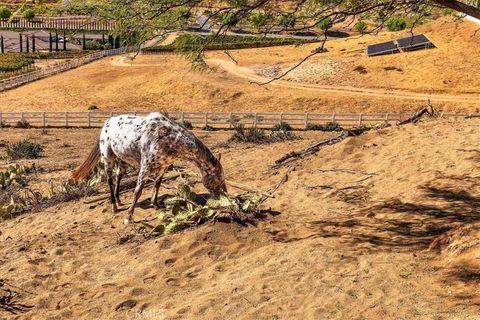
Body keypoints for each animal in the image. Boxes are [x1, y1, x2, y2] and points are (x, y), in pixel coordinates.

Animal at [71, 112, 227, 222]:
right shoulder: (145, 167)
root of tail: (107, 122)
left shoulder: (162, 167)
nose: (223, 196)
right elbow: (138, 191)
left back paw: (119, 200)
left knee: (119, 176)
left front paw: (155, 205)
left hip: (123, 160)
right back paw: (114, 206)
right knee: (110, 180)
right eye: (219, 177)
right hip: (107, 158)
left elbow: (156, 186)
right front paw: (129, 216)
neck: (168, 137)